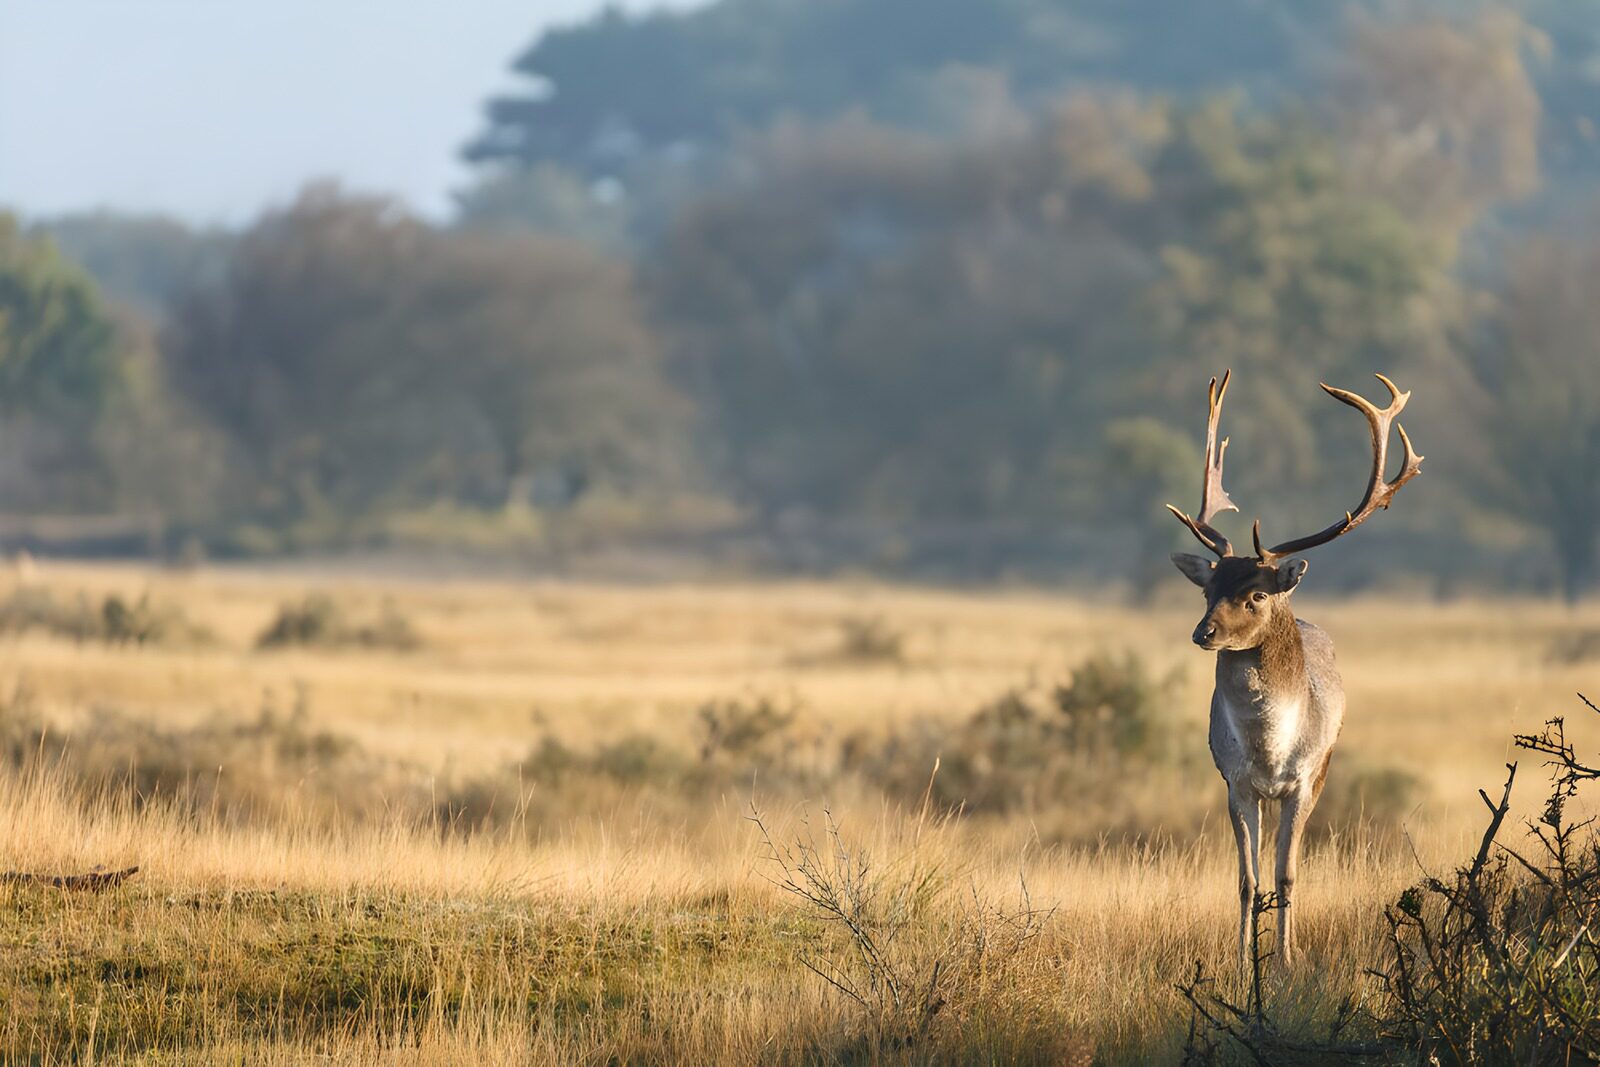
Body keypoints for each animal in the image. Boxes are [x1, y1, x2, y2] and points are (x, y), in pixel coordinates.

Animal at [1166, 369, 1422, 970]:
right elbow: (1246, 879)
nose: (1203, 632)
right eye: (1209, 588)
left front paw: (1284, 960)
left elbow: (1286, 875)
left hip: (1325, 770)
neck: (1270, 750)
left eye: (1257, 594)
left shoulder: (1304, 782)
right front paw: (1242, 960)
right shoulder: (1234, 781)